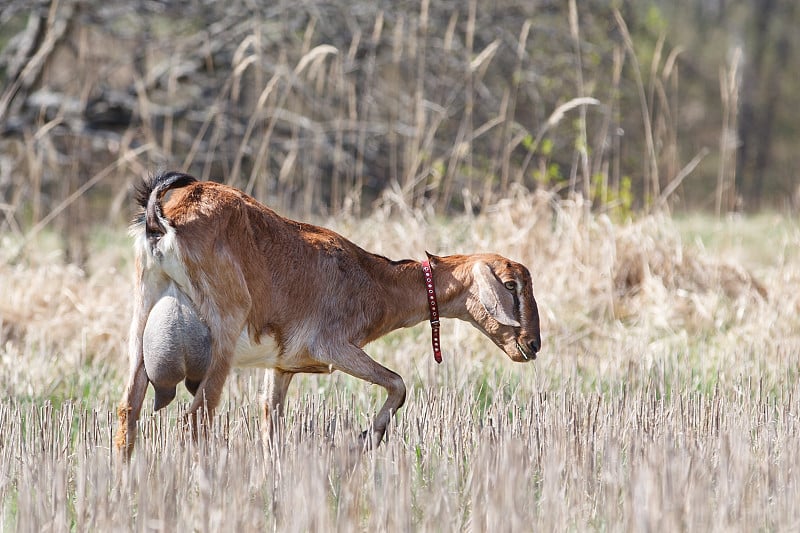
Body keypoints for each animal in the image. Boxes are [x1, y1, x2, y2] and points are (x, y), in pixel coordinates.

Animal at [115, 172, 544, 456]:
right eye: (511, 285)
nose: (532, 344)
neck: (372, 276)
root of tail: (161, 216)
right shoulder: (335, 347)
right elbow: (398, 383)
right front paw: (366, 439)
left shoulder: (282, 367)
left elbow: (271, 424)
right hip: (222, 337)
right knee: (196, 419)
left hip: (141, 326)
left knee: (128, 412)